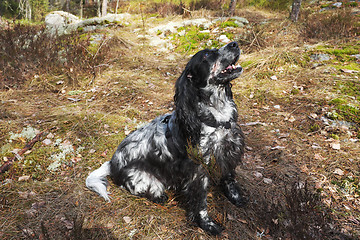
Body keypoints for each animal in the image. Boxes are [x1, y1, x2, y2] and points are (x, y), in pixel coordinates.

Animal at [86, 42, 246, 235]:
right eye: (207, 56)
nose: (234, 43)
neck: (218, 116)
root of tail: (111, 163)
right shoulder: (198, 171)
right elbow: (201, 203)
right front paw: (207, 224)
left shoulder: (229, 149)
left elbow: (229, 178)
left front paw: (235, 197)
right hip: (144, 181)